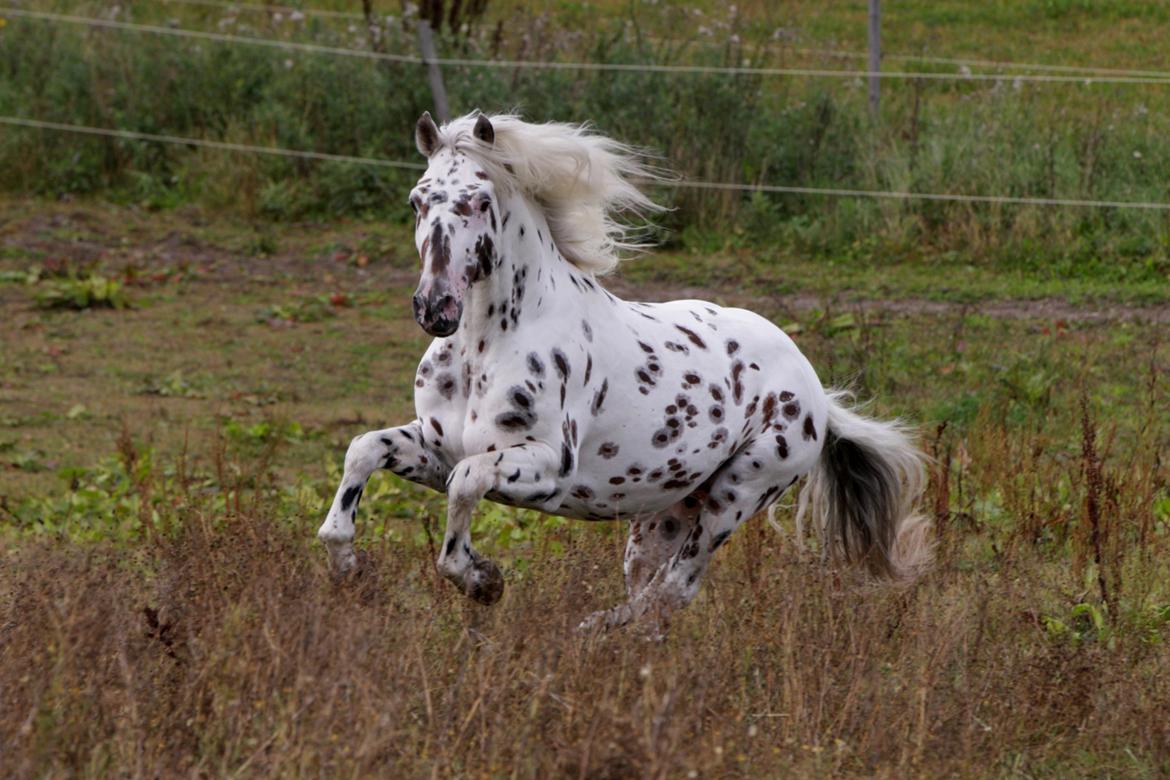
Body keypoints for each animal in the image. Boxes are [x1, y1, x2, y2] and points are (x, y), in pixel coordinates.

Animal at [315, 111, 926, 636]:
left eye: (480, 201)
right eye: (417, 200)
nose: (434, 308)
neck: (486, 347)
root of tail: (813, 388)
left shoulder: (545, 469)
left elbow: (466, 486)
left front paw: (483, 580)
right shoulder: (438, 448)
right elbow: (363, 450)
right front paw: (348, 567)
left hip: (736, 497)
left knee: (673, 590)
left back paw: (588, 633)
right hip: (665, 513)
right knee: (652, 594)